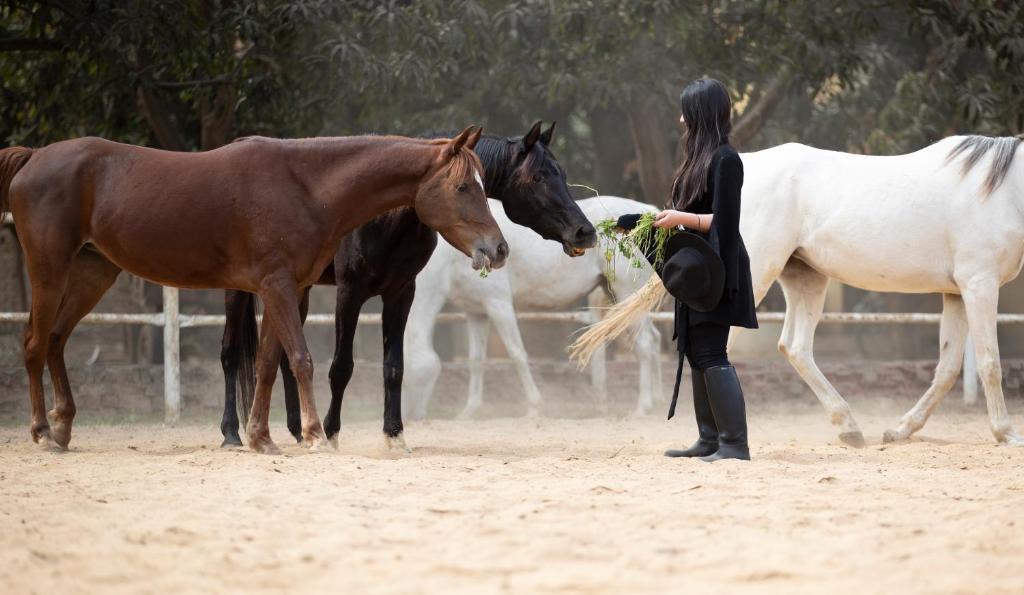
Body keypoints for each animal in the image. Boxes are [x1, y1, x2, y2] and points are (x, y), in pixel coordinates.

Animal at [1, 126, 507, 450]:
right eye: (463, 187)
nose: (498, 248)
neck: (304, 185)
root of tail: (34, 157)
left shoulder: (280, 288)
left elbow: (265, 364)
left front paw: (262, 438)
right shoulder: (282, 286)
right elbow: (301, 359)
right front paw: (315, 435)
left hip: (93, 273)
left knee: (55, 340)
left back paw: (64, 429)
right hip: (49, 270)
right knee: (33, 343)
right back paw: (42, 431)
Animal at [219, 120, 598, 446]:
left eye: (562, 174)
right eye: (537, 177)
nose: (585, 231)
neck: (388, 212)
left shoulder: (401, 293)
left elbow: (394, 367)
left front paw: (394, 435)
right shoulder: (350, 293)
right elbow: (342, 367)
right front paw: (333, 432)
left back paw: (297, 431)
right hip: (242, 289)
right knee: (230, 352)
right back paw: (232, 433)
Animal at [403, 194, 659, 417]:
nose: (412, 417)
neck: (454, 257)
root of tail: (650, 213)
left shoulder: (498, 304)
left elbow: (517, 354)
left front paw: (535, 407)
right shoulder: (476, 312)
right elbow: (476, 360)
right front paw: (469, 411)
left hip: (626, 292)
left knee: (645, 345)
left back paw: (642, 408)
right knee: (654, 339)